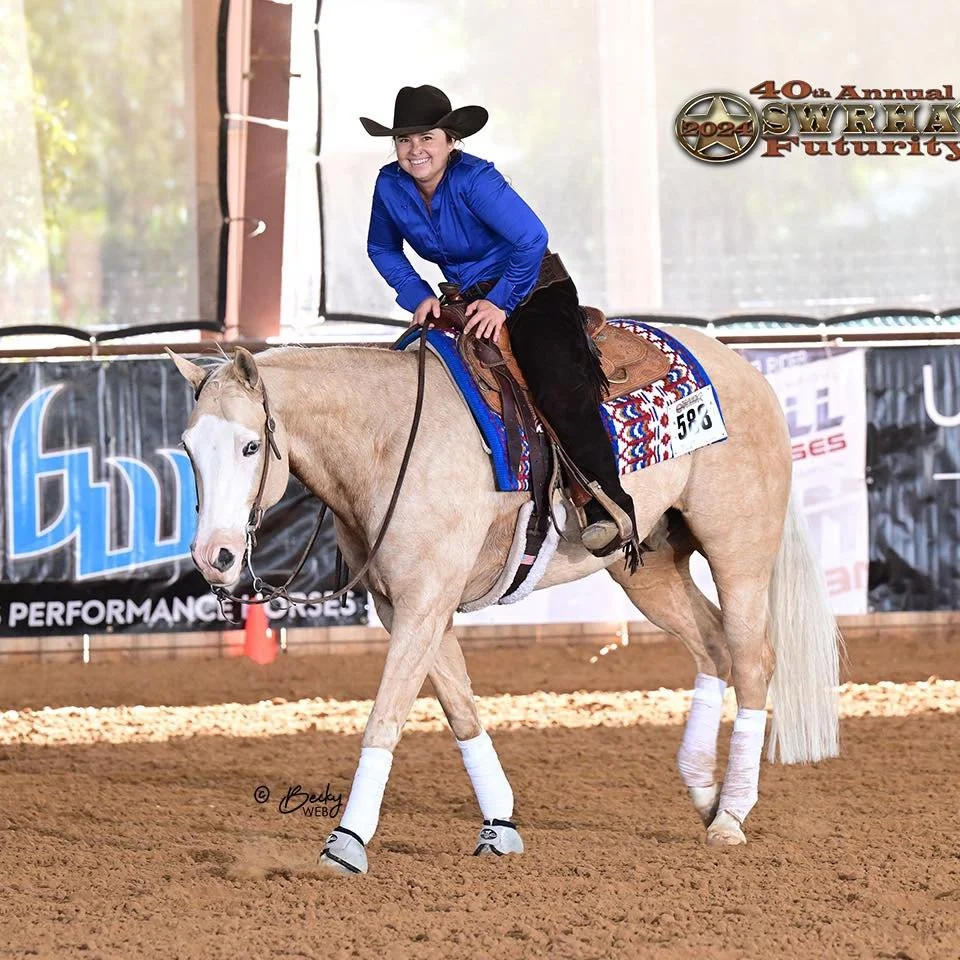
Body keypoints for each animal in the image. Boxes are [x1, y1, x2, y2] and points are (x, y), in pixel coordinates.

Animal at [167, 324, 840, 875]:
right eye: (190, 447)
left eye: (251, 446)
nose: (213, 556)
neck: (389, 442)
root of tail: (746, 371)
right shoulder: (407, 609)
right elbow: (462, 710)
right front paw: (499, 827)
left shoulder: (424, 604)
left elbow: (384, 718)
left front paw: (347, 842)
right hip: (649, 567)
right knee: (712, 648)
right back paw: (704, 792)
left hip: (738, 552)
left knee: (752, 662)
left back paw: (731, 815)